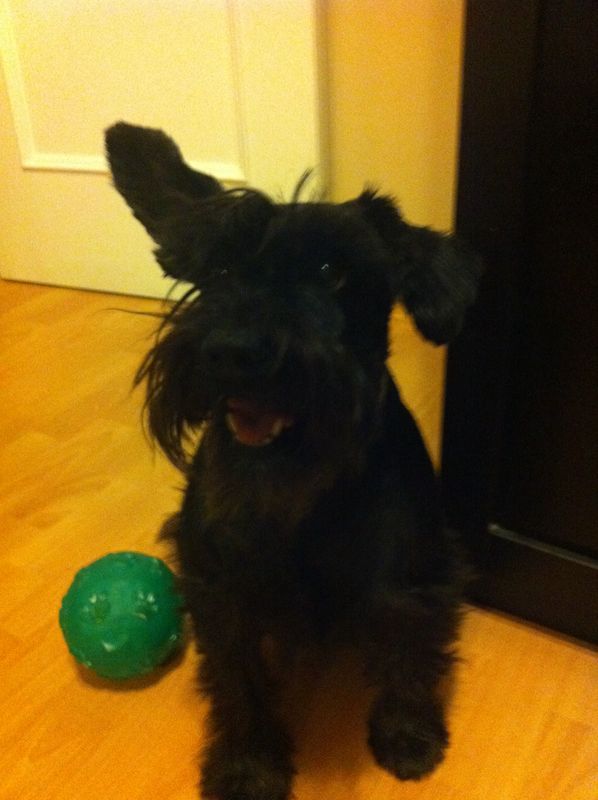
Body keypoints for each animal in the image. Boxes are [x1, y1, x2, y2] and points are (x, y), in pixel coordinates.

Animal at [105, 122, 482, 800]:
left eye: (332, 270)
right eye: (220, 266)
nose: (232, 351)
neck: (300, 498)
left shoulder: (407, 579)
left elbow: (410, 653)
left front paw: (409, 735)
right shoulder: (222, 594)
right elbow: (238, 684)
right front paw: (247, 767)